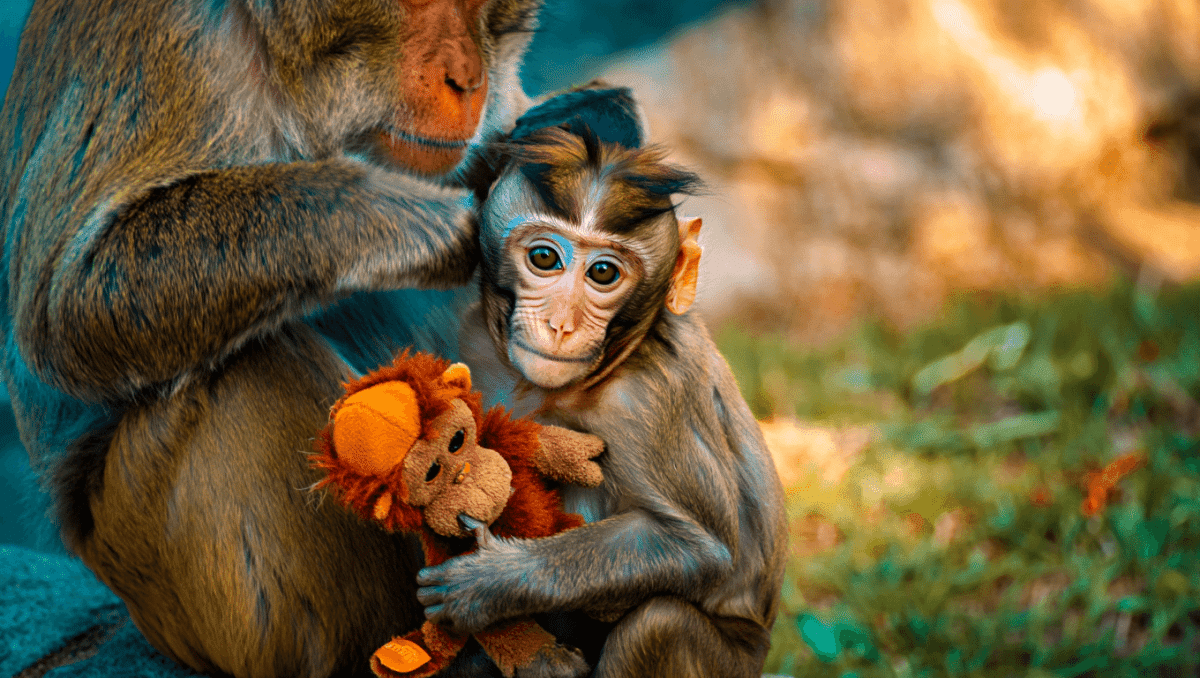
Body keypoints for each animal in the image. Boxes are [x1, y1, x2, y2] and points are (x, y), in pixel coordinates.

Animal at [0, 1, 638, 677]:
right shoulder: (172, 41)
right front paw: (414, 219)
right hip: (155, 574)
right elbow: (68, 310)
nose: (468, 82)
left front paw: (596, 118)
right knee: (252, 374)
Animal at [426, 124, 789, 678]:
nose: (561, 323)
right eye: (544, 258)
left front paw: (488, 583)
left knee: (657, 623)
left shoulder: (645, 400)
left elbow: (700, 551)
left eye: (603, 273)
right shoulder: (472, 343)